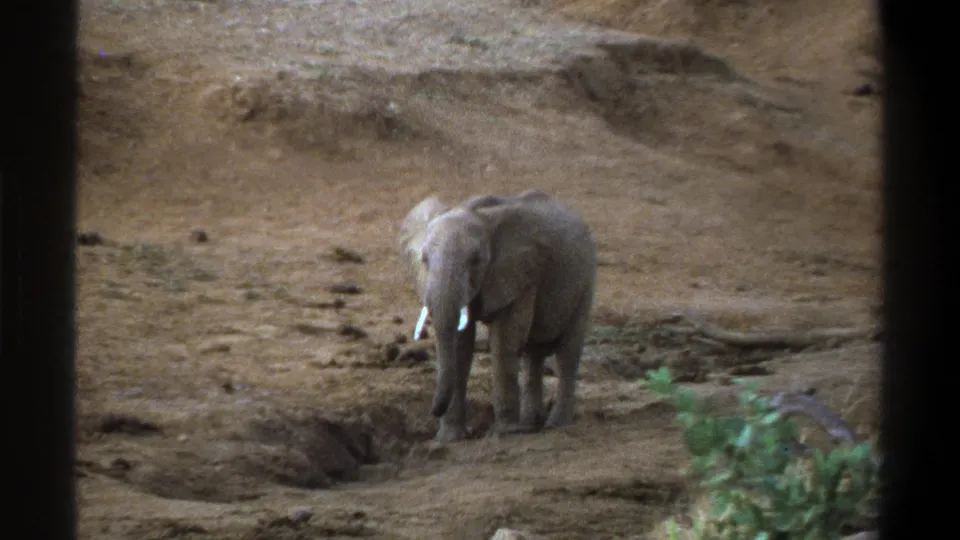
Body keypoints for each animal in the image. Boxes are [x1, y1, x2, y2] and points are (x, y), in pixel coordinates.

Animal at [397, 189, 597, 442]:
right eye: (424, 260)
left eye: (476, 261)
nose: (433, 410)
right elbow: (461, 346)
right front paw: (450, 438)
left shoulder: (521, 274)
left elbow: (504, 340)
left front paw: (506, 432)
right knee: (533, 354)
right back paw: (530, 425)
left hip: (586, 282)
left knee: (567, 353)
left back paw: (556, 424)